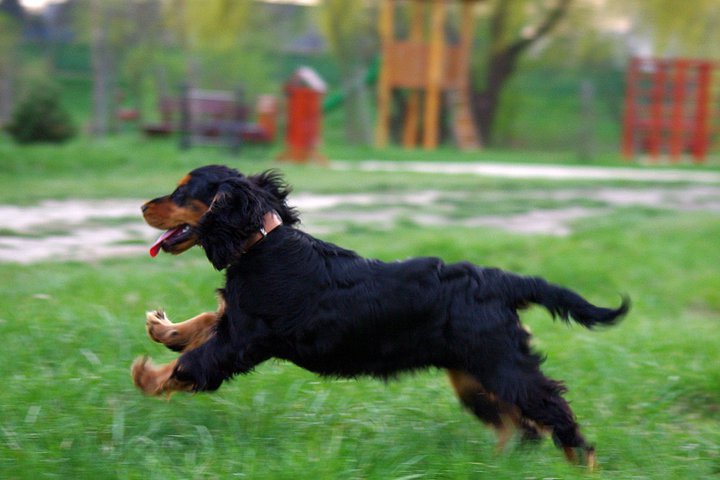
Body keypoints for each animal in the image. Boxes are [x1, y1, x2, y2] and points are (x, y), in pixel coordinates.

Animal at [132, 165, 628, 468]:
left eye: (183, 191)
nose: (141, 205)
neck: (261, 242)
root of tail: (498, 280)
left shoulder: (245, 337)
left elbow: (193, 363)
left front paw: (148, 377)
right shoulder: (237, 319)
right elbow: (204, 321)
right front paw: (164, 328)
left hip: (502, 365)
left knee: (554, 414)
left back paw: (584, 467)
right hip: (475, 375)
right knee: (519, 425)